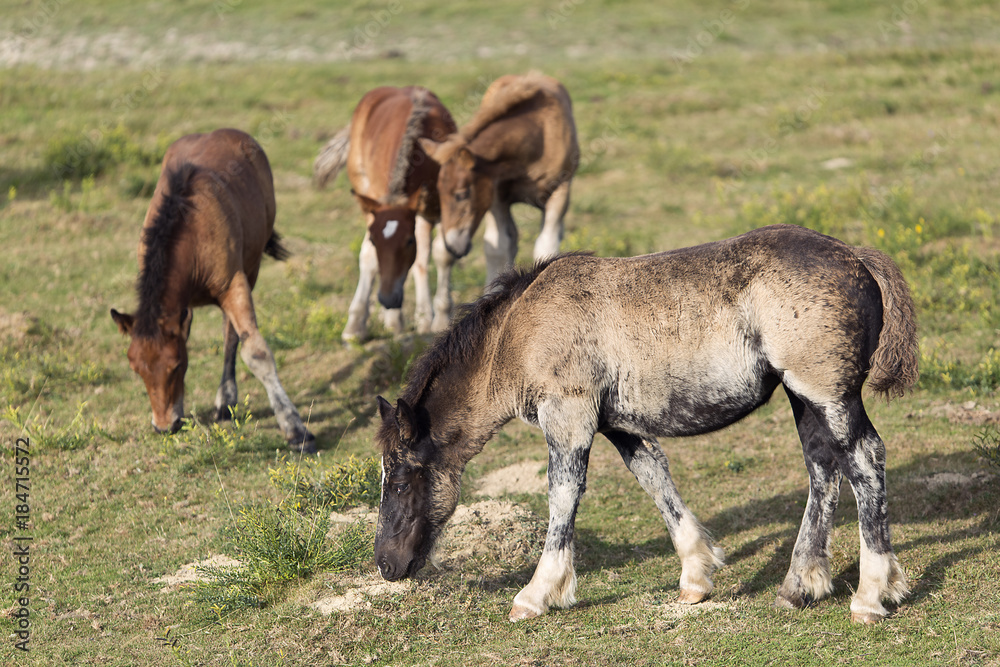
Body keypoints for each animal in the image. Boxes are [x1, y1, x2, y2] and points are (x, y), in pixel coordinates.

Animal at [111, 128, 315, 452]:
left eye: (176, 365)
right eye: (136, 369)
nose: (163, 427)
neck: (189, 230)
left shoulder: (234, 284)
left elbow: (255, 352)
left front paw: (295, 429)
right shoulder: (179, 307)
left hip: (251, 270)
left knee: (231, 335)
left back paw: (227, 399)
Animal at [314, 86, 458, 341]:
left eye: (407, 241)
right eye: (375, 240)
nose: (387, 298)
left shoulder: (441, 206)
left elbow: (443, 254)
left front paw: (441, 319)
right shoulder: (377, 204)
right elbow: (369, 257)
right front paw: (363, 325)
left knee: (423, 257)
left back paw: (423, 316)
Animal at [372, 224, 918, 624]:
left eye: (398, 481)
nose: (386, 565)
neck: (519, 330)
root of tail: (856, 256)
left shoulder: (569, 417)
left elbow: (562, 496)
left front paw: (537, 593)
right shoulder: (619, 424)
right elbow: (655, 477)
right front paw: (696, 576)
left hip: (829, 395)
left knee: (864, 459)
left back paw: (871, 594)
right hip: (802, 396)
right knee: (823, 466)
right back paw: (800, 585)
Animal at [418, 71, 579, 287]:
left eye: (462, 194)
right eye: (439, 193)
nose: (452, 247)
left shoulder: (560, 189)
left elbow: (547, 248)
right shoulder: (495, 196)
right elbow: (498, 249)